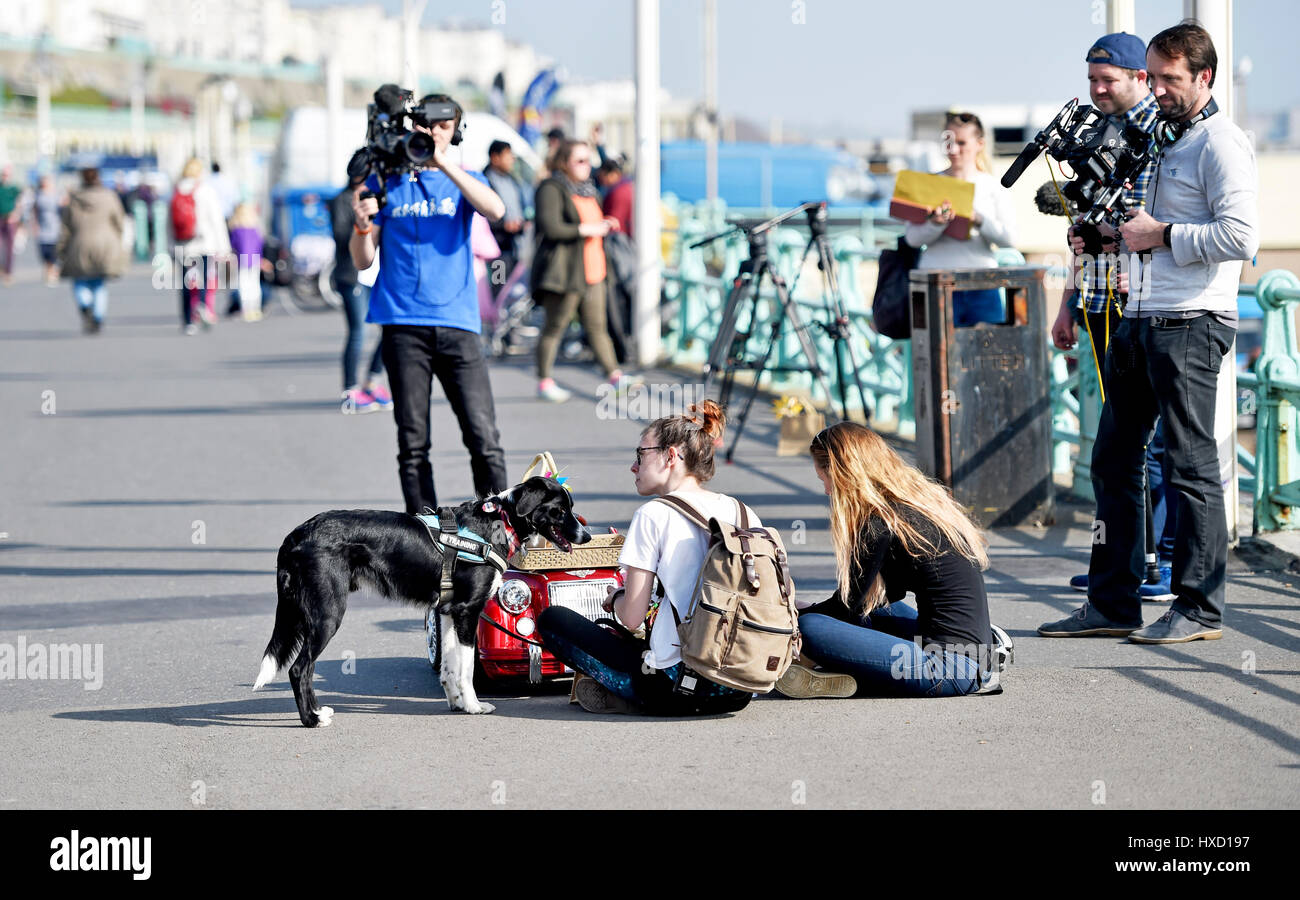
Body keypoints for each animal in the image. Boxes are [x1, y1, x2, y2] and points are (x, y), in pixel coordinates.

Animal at [249, 478, 595, 723]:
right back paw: (313, 719)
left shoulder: (447, 611)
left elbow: (451, 666)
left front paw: (457, 704)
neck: (501, 521)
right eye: (560, 510)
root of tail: (296, 535)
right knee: (299, 669)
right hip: (326, 615)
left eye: (570, 507)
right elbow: (467, 667)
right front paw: (474, 706)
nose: (588, 536)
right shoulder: (468, 611)